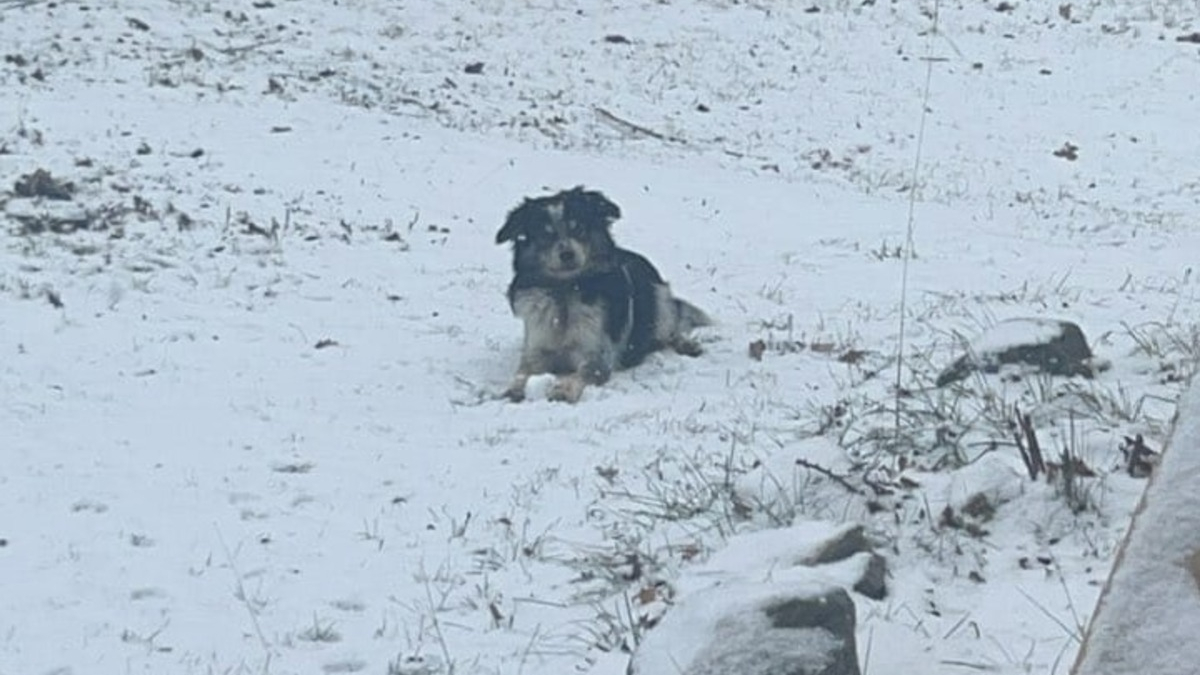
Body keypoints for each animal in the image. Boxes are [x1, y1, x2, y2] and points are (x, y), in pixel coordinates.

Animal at [494, 186, 705, 401]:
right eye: (545, 234)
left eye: (578, 227)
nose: (567, 254)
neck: (565, 290)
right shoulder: (537, 349)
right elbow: (523, 371)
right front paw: (513, 389)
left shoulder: (597, 355)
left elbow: (584, 371)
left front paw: (564, 389)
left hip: (660, 303)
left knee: (671, 329)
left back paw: (687, 344)